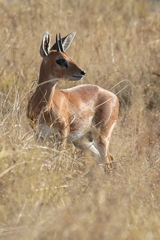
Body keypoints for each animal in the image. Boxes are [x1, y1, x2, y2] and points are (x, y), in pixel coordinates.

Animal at [26, 31, 119, 171]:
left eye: (69, 56)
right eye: (60, 59)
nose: (82, 72)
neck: (44, 108)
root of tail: (114, 97)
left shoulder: (62, 135)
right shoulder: (39, 136)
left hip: (101, 137)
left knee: (108, 161)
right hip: (83, 141)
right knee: (103, 159)